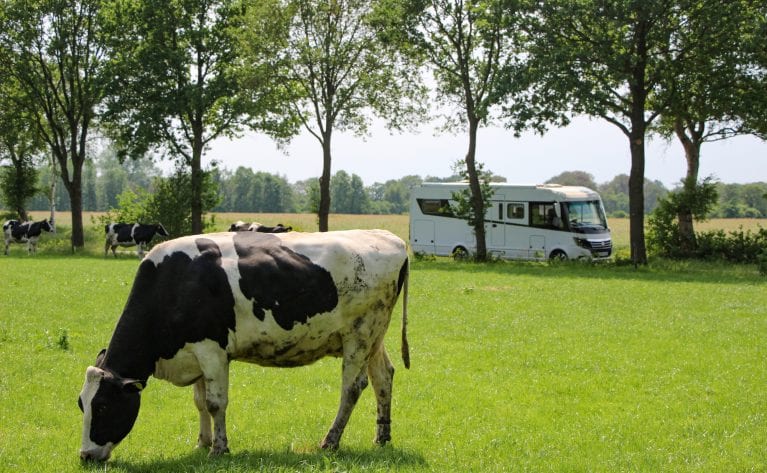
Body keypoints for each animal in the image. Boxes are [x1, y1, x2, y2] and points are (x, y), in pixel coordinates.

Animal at [79, 230, 412, 460]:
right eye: (81, 403)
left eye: (103, 405)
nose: (85, 456)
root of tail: (388, 237)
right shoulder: (195, 354)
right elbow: (199, 402)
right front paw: (202, 443)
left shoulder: (212, 350)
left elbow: (215, 403)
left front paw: (219, 449)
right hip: (374, 338)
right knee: (383, 377)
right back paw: (382, 437)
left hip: (359, 336)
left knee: (352, 387)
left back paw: (330, 440)